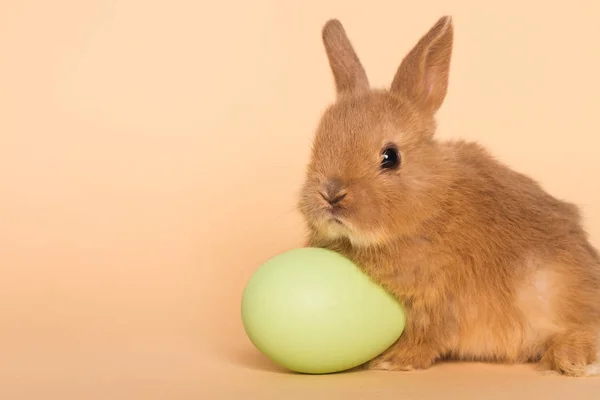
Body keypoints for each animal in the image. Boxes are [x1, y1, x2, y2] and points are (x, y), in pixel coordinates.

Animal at [298, 16, 600, 378]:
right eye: (317, 145)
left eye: (390, 157)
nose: (330, 194)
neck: (430, 207)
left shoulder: (441, 301)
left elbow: (429, 337)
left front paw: (393, 360)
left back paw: (573, 360)